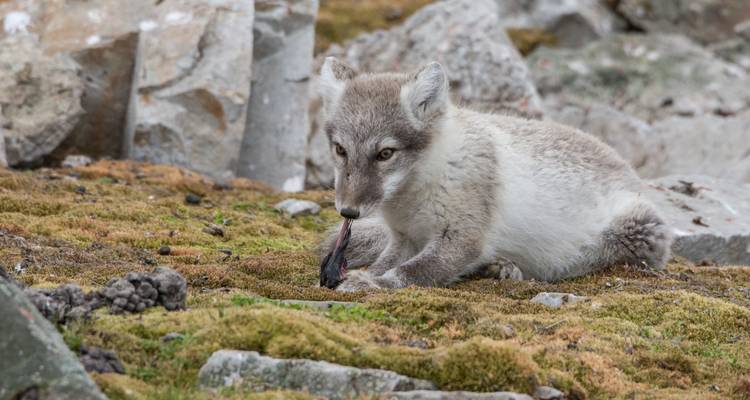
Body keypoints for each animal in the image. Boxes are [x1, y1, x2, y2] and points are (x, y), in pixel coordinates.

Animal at [318, 57, 672, 292]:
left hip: (639, 227)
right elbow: (386, 262)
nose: (348, 211)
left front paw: (368, 283)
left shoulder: (463, 240)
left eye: (385, 153)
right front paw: (365, 275)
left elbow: (408, 273)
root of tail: (625, 164)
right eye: (340, 150)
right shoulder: (404, 237)